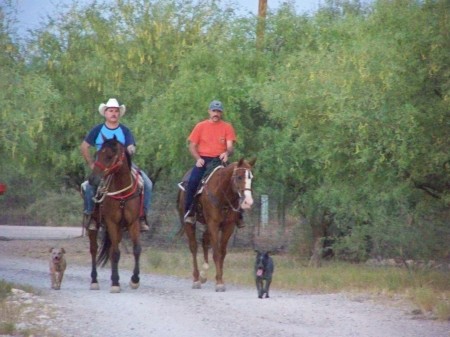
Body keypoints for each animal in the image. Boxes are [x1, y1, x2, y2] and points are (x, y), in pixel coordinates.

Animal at [88, 136, 142, 292]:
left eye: (109, 156)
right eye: (97, 154)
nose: (92, 179)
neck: (122, 193)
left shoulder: (133, 223)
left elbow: (136, 249)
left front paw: (135, 279)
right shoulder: (112, 223)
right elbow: (116, 253)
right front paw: (116, 283)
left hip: (119, 230)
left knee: (112, 250)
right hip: (95, 225)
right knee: (94, 250)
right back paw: (94, 280)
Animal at [178, 159, 256, 290]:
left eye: (251, 178)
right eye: (239, 177)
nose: (248, 202)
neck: (222, 194)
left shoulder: (228, 226)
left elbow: (222, 252)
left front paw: (220, 278)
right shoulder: (213, 224)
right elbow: (216, 252)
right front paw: (219, 282)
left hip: (206, 225)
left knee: (204, 242)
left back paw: (203, 274)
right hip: (190, 223)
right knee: (194, 247)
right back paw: (196, 279)